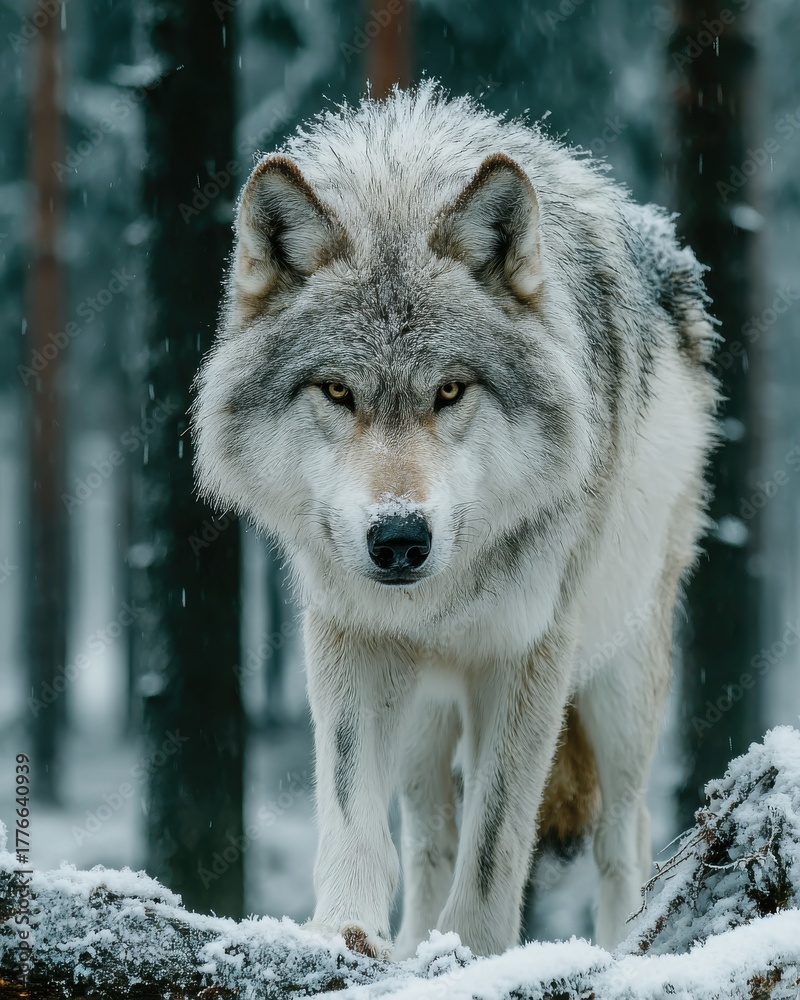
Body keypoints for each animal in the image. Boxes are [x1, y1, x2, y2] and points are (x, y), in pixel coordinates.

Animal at [193, 83, 717, 959]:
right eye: (337, 392)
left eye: (449, 391)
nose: (399, 538)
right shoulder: (352, 634)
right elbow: (353, 807)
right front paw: (347, 932)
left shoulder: (528, 653)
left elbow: (497, 839)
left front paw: (472, 954)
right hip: (426, 714)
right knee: (429, 835)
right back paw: (410, 946)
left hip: (621, 685)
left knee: (626, 838)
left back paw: (620, 949)